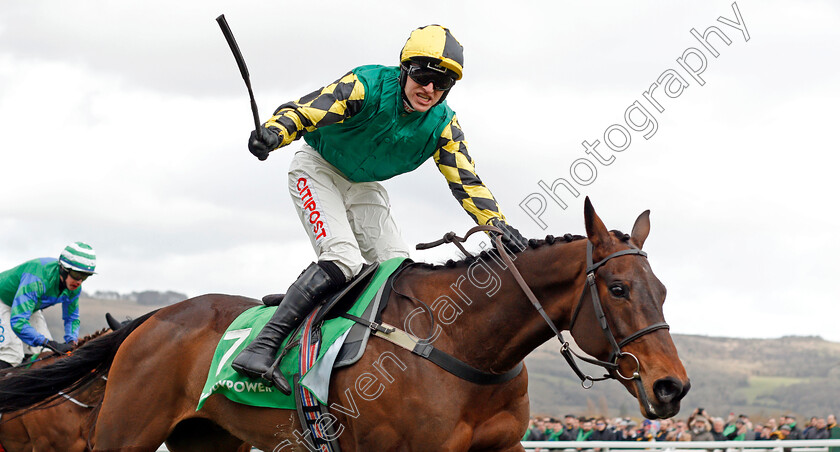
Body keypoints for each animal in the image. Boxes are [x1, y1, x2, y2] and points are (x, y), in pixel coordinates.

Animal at [0, 200, 684, 452]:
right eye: (618, 289)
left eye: (663, 291)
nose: (671, 387)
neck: (464, 345)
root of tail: (153, 320)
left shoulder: (501, 447)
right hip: (125, 433)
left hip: (208, 439)